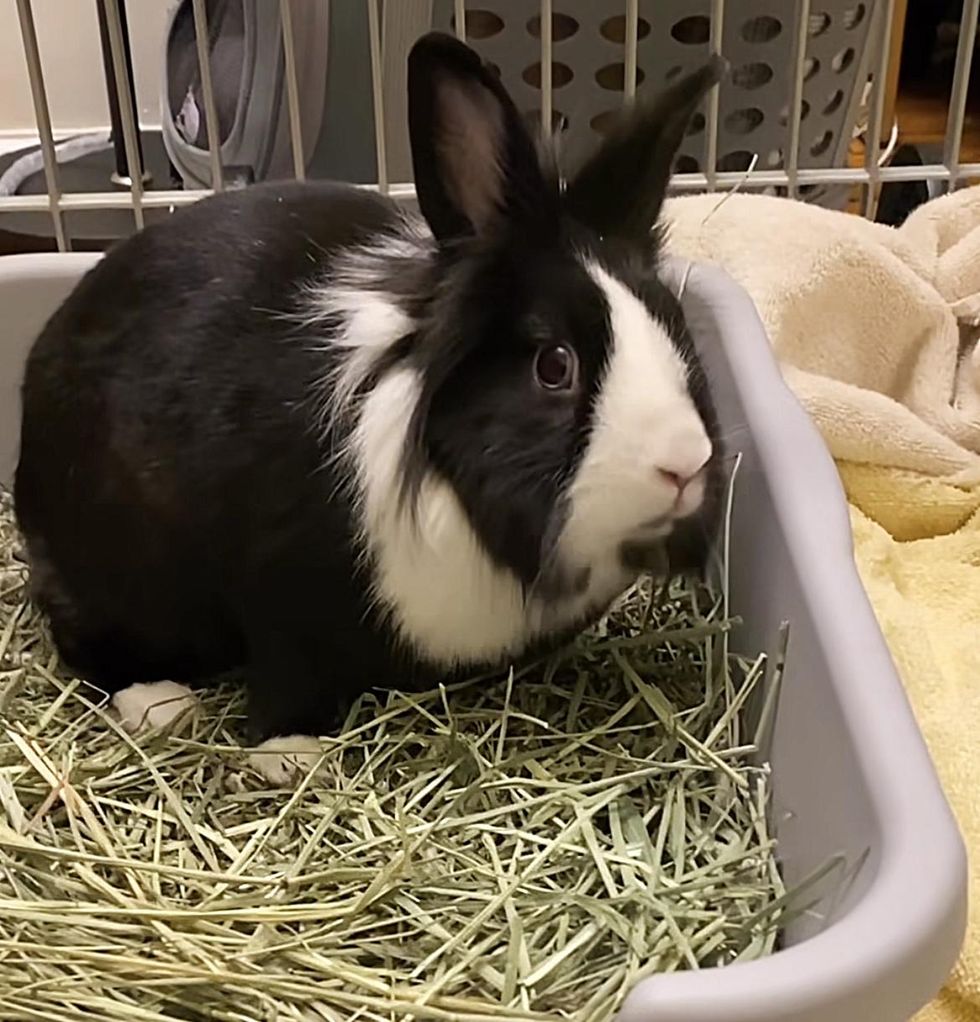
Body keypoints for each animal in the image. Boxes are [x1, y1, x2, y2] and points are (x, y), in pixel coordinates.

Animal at [15, 32, 725, 784]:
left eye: (675, 326)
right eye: (554, 366)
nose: (685, 464)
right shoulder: (283, 601)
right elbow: (287, 680)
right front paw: (289, 757)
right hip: (117, 570)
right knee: (86, 635)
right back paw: (161, 703)